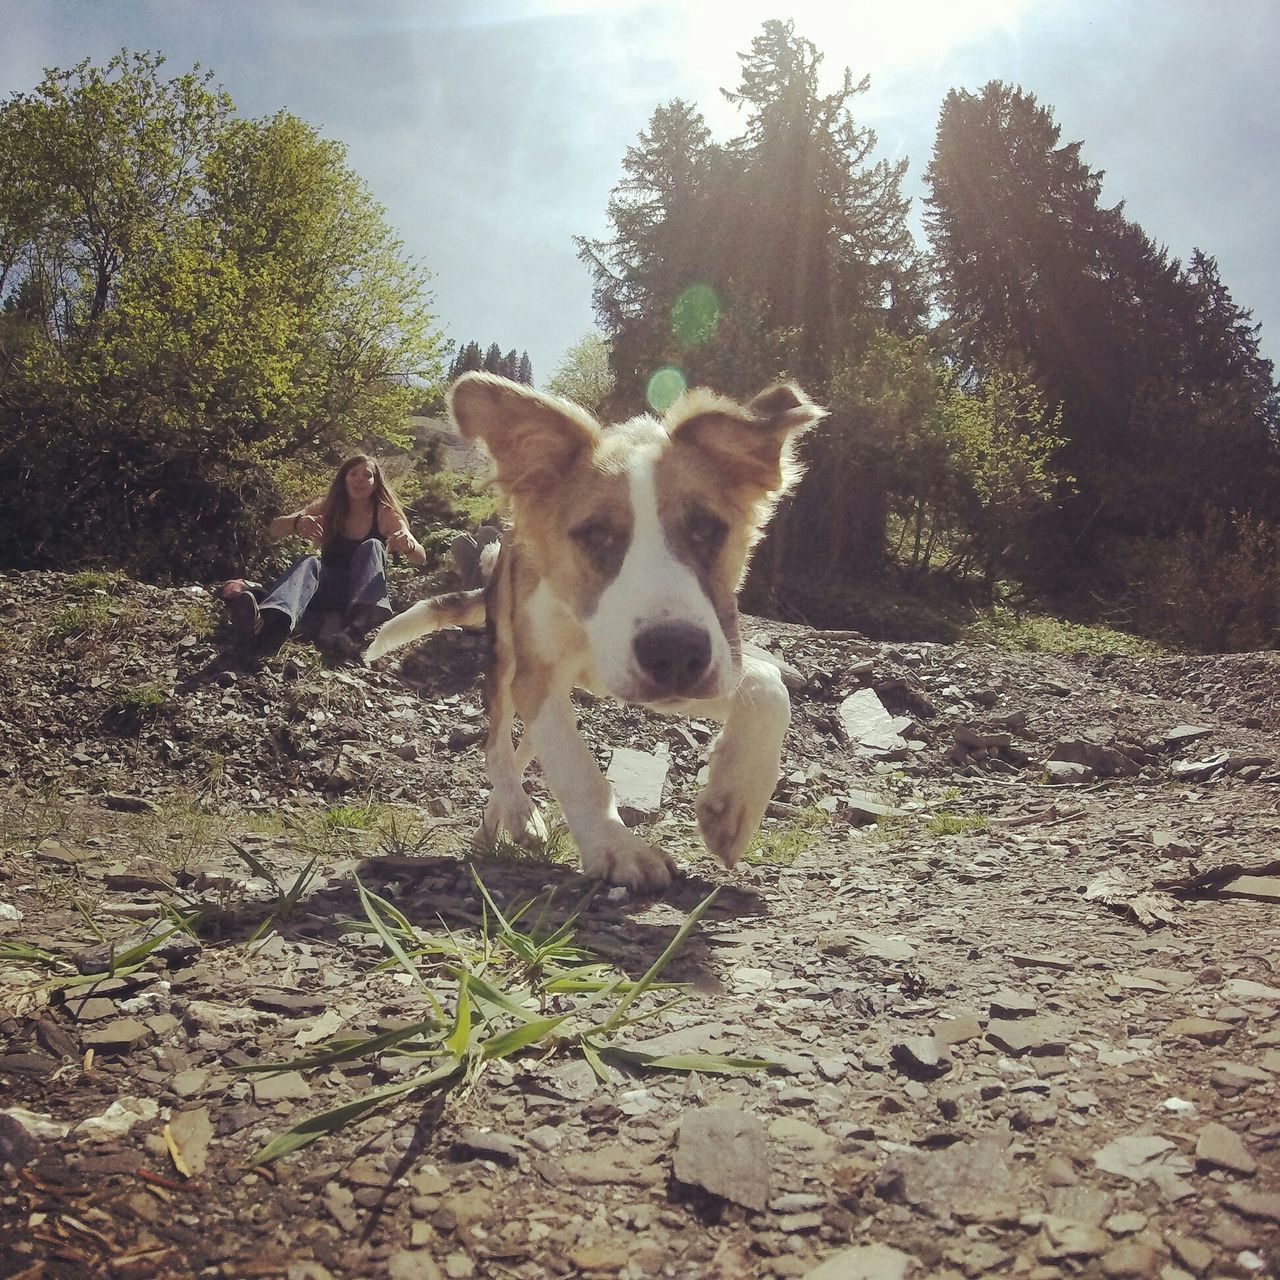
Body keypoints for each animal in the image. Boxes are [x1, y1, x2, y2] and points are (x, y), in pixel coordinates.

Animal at [366, 371, 824, 890]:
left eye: (707, 528)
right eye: (596, 534)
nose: (674, 654)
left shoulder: (702, 665)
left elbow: (768, 687)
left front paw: (734, 805)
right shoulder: (539, 672)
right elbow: (575, 767)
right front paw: (617, 848)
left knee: (524, 746)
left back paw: (494, 825)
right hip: (506, 654)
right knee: (497, 744)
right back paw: (518, 811)